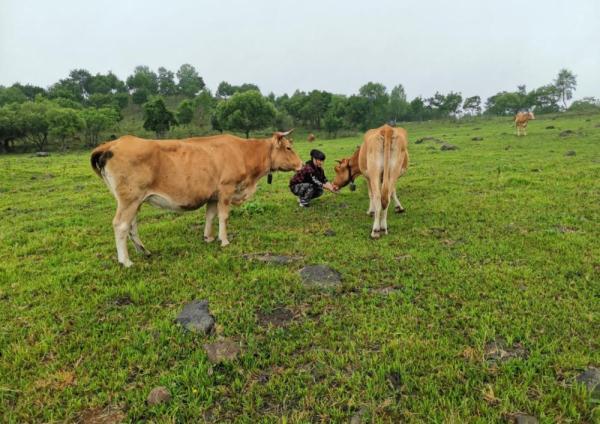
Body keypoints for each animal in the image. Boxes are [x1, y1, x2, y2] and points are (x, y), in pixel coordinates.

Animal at [91, 131, 302, 266]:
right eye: (288, 147)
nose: (301, 164)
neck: (243, 152)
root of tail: (113, 143)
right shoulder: (226, 189)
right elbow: (223, 217)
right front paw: (224, 240)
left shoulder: (213, 195)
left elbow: (210, 216)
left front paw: (208, 237)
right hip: (129, 199)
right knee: (121, 225)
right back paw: (126, 261)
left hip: (134, 201)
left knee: (131, 226)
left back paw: (144, 251)